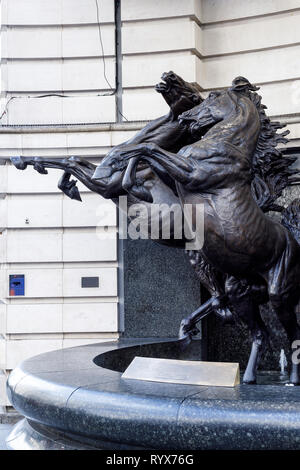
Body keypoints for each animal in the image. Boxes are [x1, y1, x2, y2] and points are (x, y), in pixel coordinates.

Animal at [95, 78, 300, 386]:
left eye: (211, 96)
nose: (185, 119)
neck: (226, 142)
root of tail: (294, 240)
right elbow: (145, 154)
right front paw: (119, 169)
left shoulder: (192, 172)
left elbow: (148, 149)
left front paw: (116, 161)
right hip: (243, 291)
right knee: (258, 332)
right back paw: (247, 376)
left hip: (280, 293)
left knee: (293, 335)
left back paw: (291, 379)